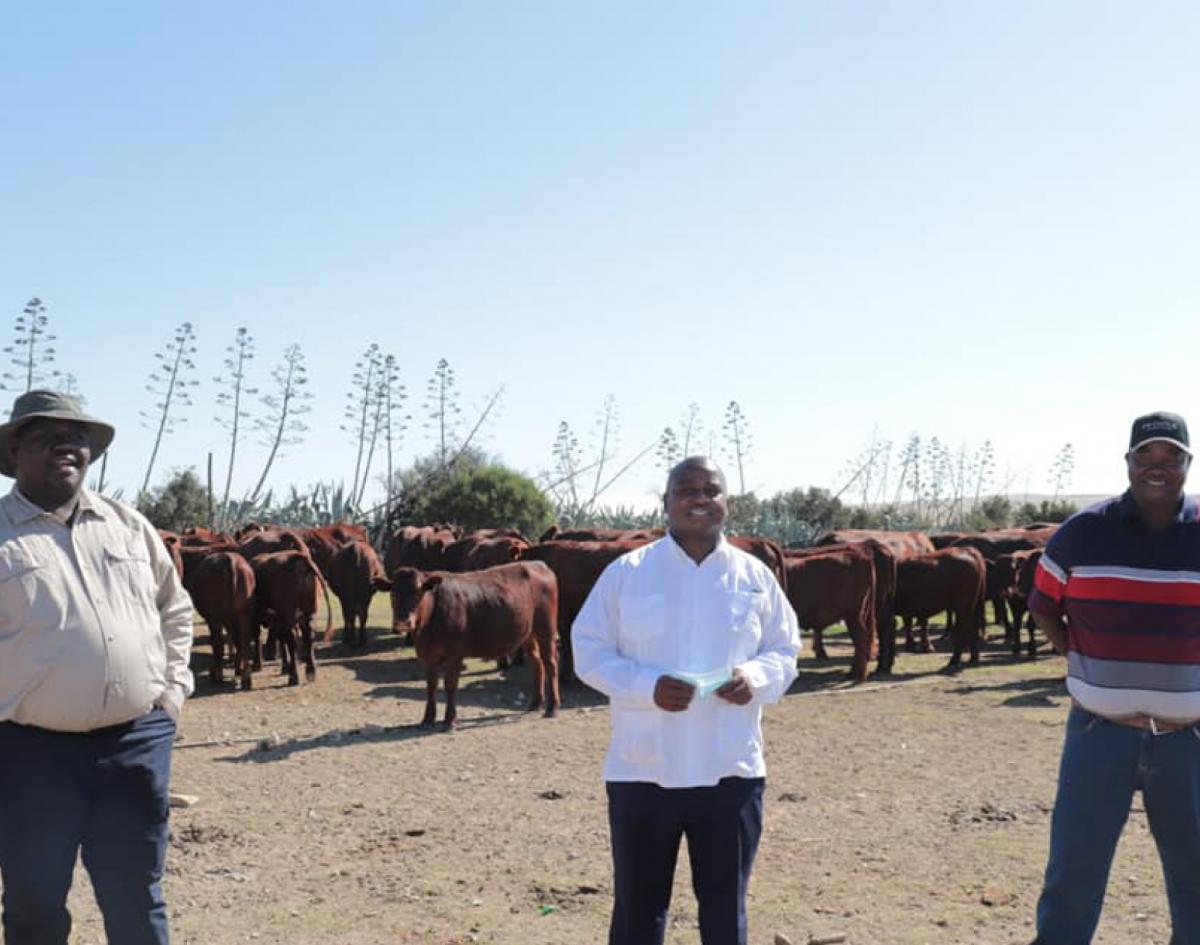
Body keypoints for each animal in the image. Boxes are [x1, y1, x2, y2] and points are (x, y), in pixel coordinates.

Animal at [393, 563, 561, 729]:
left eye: (418, 592)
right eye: (393, 594)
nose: (403, 621)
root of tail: (539, 565)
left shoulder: (455, 654)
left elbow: (450, 684)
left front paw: (450, 720)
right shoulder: (428, 656)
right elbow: (431, 685)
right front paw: (428, 718)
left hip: (546, 629)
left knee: (550, 663)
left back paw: (552, 707)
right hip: (528, 634)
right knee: (537, 663)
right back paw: (536, 703)